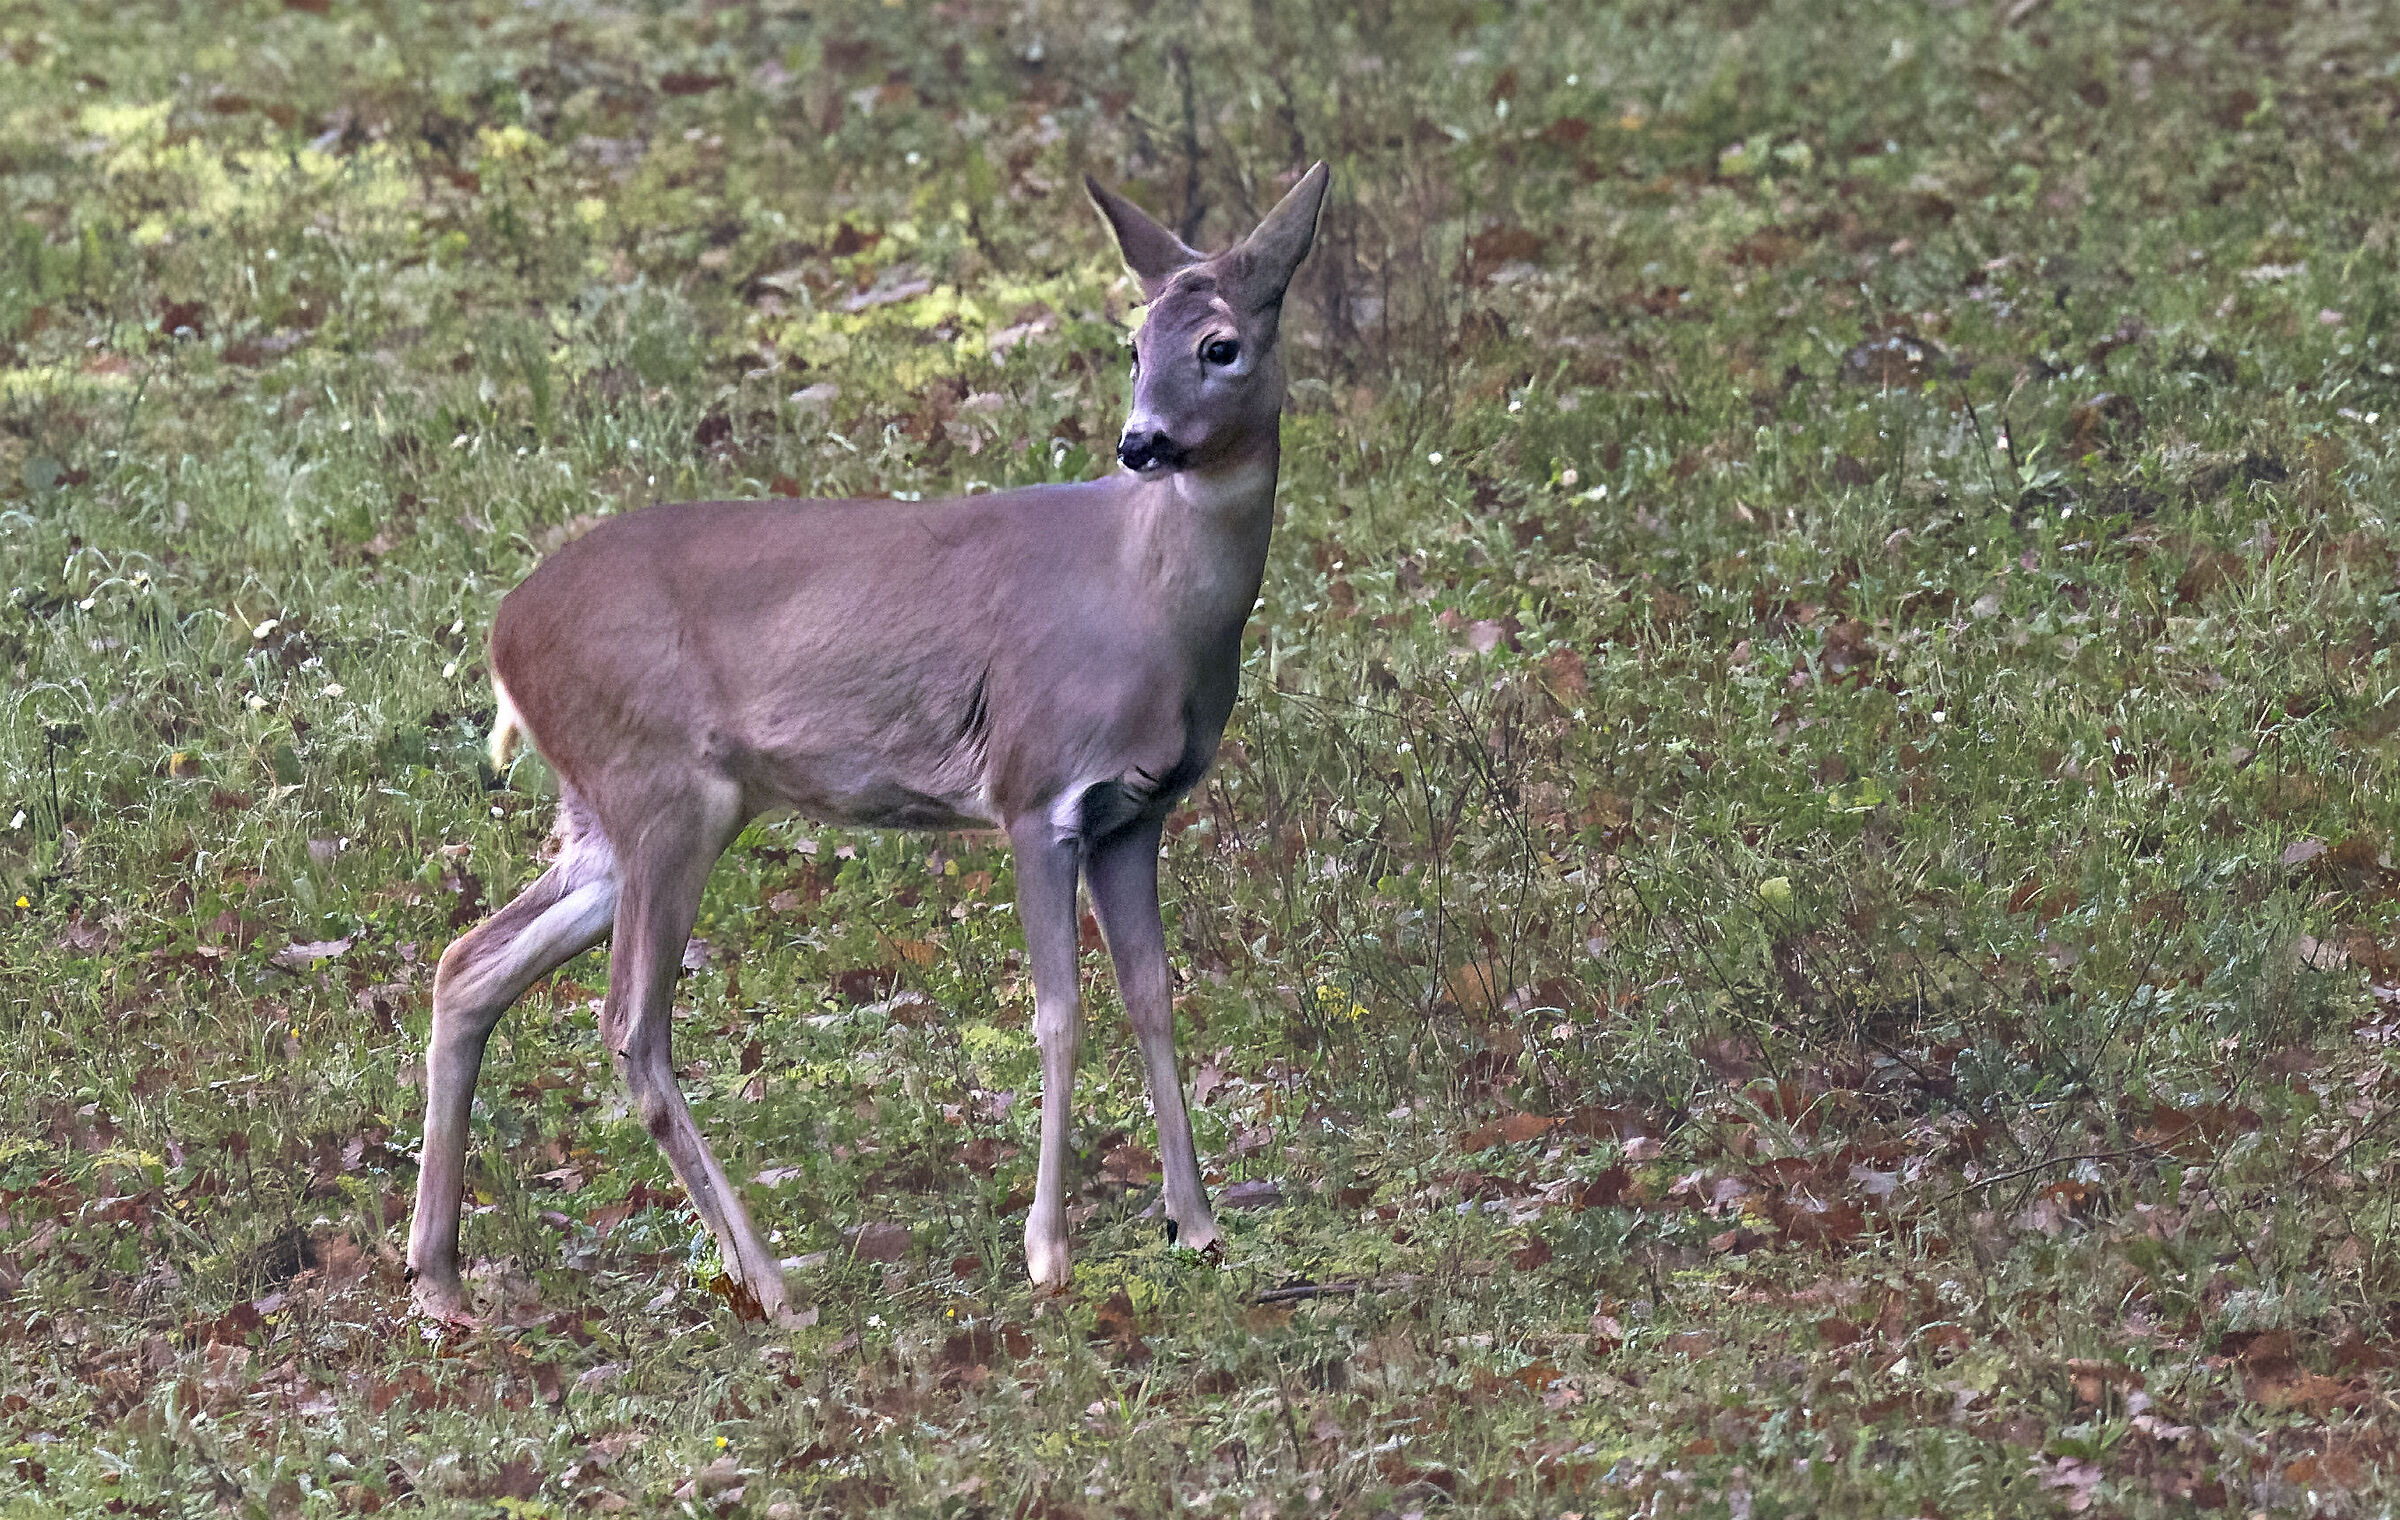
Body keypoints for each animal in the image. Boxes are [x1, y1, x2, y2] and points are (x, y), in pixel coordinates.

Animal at [405, 162, 1331, 1324]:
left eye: (1218, 345)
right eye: (1133, 343)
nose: (1141, 442)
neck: (1151, 598)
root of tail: (501, 637)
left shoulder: (1137, 812)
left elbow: (1154, 996)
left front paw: (1199, 1224)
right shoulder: (1035, 788)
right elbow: (1058, 1012)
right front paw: (1048, 1251)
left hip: (607, 816)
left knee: (468, 963)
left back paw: (440, 1277)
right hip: (663, 790)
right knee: (630, 1027)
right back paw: (769, 1282)